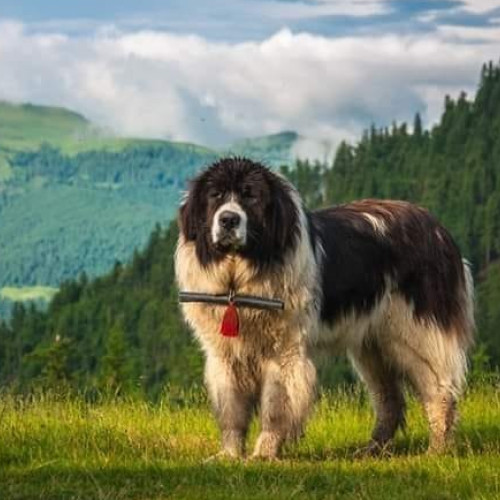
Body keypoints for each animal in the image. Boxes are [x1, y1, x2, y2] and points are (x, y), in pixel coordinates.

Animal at [175, 158, 472, 458]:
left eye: (251, 196)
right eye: (215, 196)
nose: (228, 219)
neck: (238, 280)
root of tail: (437, 229)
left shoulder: (284, 351)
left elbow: (275, 407)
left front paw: (264, 453)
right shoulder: (224, 354)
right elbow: (231, 409)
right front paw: (230, 455)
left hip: (417, 334)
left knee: (440, 391)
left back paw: (437, 449)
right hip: (373, 345)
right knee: (389, 398)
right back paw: (371, 450)